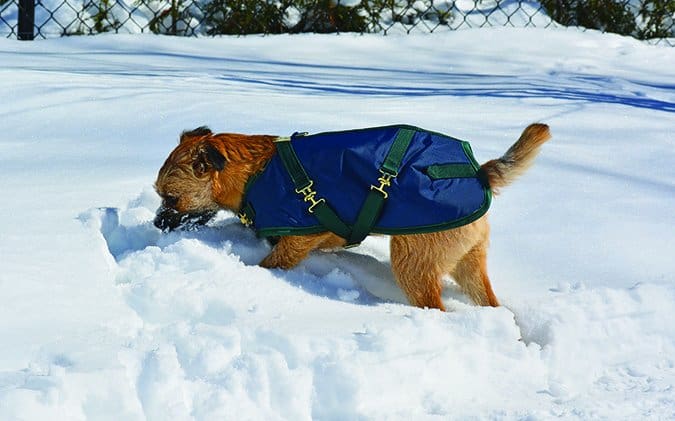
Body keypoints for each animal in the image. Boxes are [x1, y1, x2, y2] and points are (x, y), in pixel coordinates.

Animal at [156, 123, 552, 310]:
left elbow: (272, 263)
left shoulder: (299, 239)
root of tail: (479, 173)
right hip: (468, 262)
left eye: (171, 199)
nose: (157, 223)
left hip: (412, 263)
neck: (253, 174)